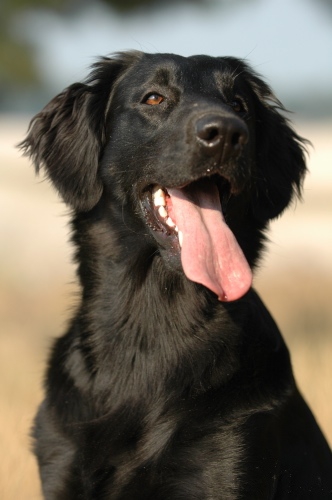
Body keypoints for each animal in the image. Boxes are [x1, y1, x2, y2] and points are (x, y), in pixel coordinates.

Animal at [22, 52, 330, 498]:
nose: (227, 133)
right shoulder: (61, 462)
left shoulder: (226, 460)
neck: (148, 329)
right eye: (154, 98)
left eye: (239, 105)